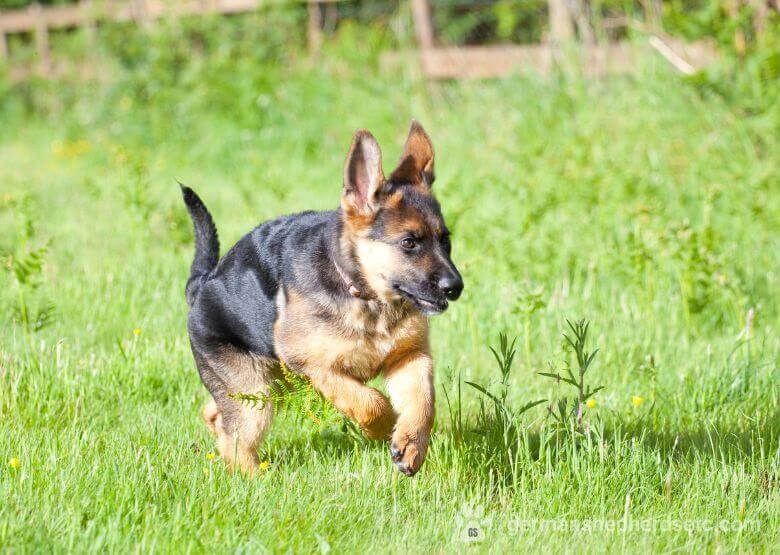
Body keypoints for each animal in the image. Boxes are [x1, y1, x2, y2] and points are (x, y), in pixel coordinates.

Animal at [181, 121, 464, 478]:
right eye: (409, 242)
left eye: (445, 241)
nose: (455, 287)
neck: (364, 294)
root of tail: (202, 285)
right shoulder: (315, 366)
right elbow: (369, 402)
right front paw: (385, 426)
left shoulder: (410, 356)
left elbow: (423, 400)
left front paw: (410, 444)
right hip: (258, 390)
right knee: (238, 443)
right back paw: (259, 480)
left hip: (273, 385)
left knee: (217, 415)